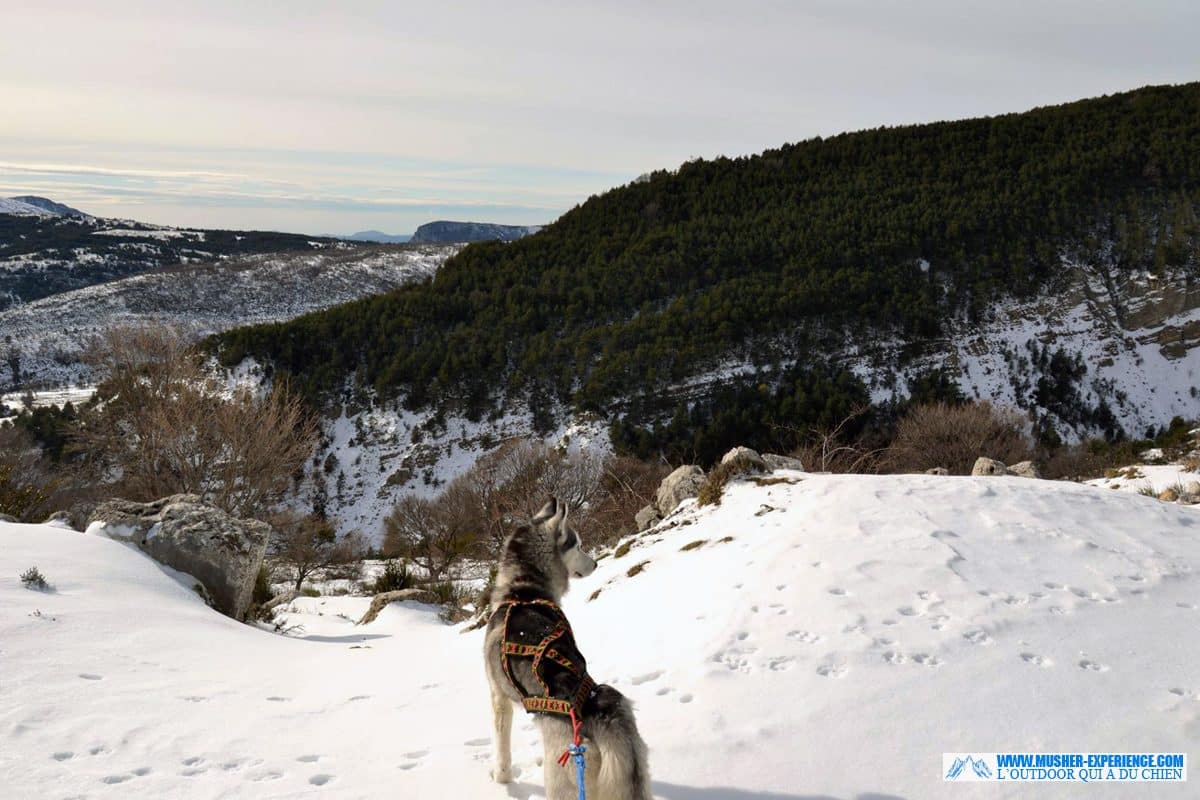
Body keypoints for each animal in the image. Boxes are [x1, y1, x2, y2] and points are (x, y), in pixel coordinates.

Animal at [482, 496, 652, 796]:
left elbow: (502, 752)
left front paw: (502, 782)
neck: (523, 592)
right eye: (580, 545)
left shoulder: (498, 698)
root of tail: (601, 716)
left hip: (560, 779)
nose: (595, 563)